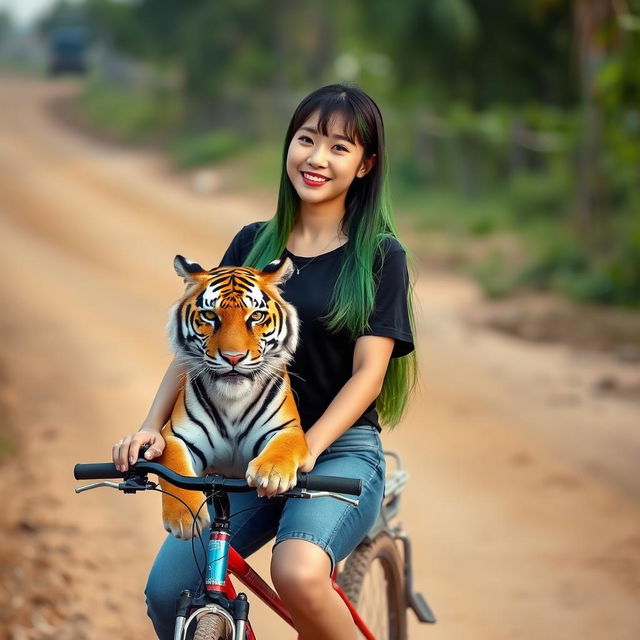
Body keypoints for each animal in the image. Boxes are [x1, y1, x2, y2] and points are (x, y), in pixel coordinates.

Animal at [159, 252, 312, 536]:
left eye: (257, 316)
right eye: (210, 315)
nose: (233, 357)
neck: (233, 401)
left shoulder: (289, 429)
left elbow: (284, 446)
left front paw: (271, 473)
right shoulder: (175, 435)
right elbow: (173, 463)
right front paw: (184, 515)